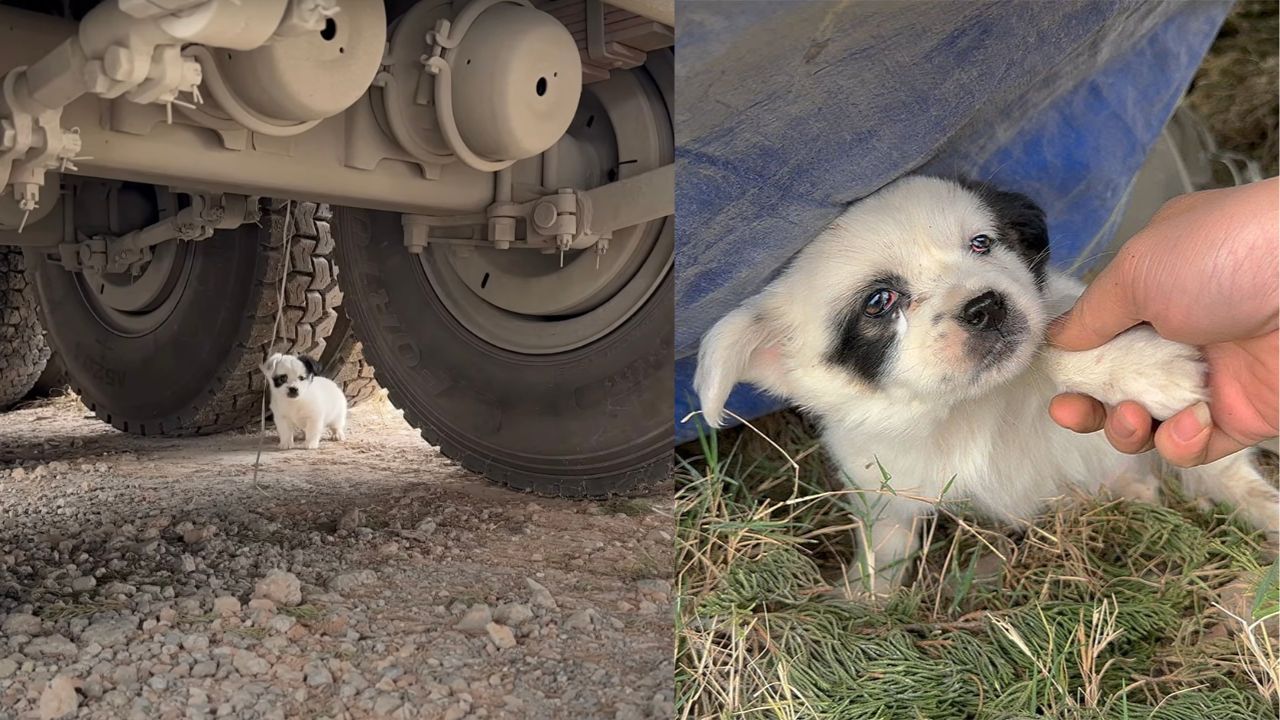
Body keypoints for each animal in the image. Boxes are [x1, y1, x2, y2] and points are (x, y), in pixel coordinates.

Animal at [701, 172, 1280, 589]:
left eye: (982, 244)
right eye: (880, 301)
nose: (986, 306)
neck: (964, 410)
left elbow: (1046, 347)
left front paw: (1140, 368)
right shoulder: (885, 482)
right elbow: (885, 540)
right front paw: (864, 601)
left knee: (1229, 475)